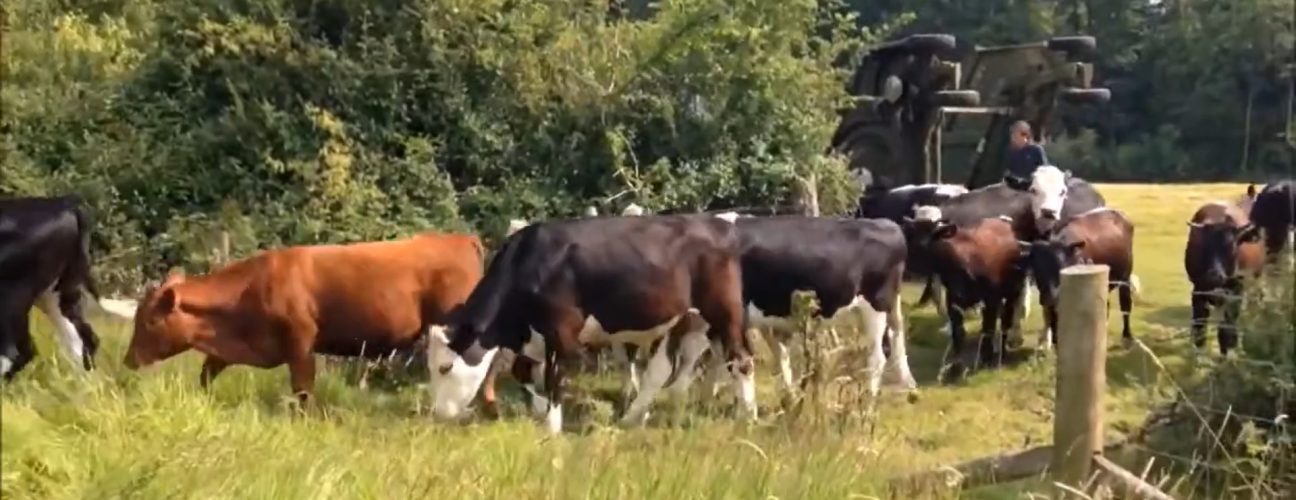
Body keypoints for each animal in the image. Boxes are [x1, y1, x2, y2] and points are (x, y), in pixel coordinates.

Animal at [122, 233, 482, 401]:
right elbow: (206, 372)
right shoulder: (230, 349)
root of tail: (458, 238)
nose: (128, 360)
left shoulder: (300, 343)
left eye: (150, 321)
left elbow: (303, 388)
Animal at [427, 212, 751, 432]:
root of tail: (719, 224)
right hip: (680, 320)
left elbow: (554, 378)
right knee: (661, 370)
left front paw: (552, 427)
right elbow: (522, 373)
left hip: (723, 312)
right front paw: (540, 410)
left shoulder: (560, 332)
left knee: (742, 359)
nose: (439, 413)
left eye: (445, 367)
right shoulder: (533, 338)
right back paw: (632, 418)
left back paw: (749, 414)